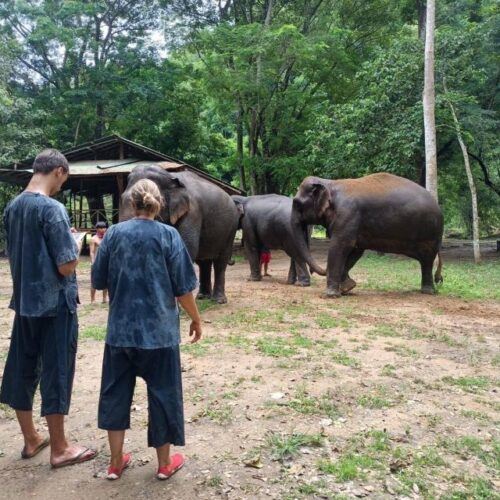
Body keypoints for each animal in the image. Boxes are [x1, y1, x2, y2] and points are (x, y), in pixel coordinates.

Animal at [120, 166, 239, 302]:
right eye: (121, 198)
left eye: (151, 204)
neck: (170, 176)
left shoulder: (192, 213)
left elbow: (186, 249)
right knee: (204, 262)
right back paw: (202, 297)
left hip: (231, 227)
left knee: (220, 261)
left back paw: (219, 300)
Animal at [292, 173, 444, 296]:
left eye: (297, 203)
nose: (313, 271)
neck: (330, 184)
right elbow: (355, 251)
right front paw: (348, 288)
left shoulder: (347, 214)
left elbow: (340, 246)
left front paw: (330, 295)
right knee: (426, 262)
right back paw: (428, 291)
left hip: (432, 234)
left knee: (427, 260)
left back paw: (428, 292)